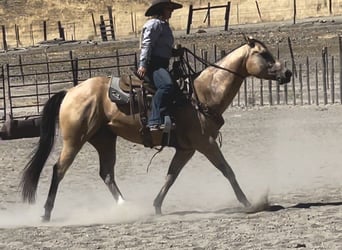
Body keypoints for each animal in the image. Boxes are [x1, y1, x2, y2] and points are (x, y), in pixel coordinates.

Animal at [20, 36, 292, 221]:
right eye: (264, 54)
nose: (287, 73)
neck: (203, 94)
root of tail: (70, 91)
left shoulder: (187, 149)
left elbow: (171, 176)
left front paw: (156, 205)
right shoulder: (206, 144)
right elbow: (227, 171)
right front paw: (249, 203)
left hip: (104, 139)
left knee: (106, 173)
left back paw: (126, 206)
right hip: (74, 139)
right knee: (59, 170)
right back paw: (46, 213)